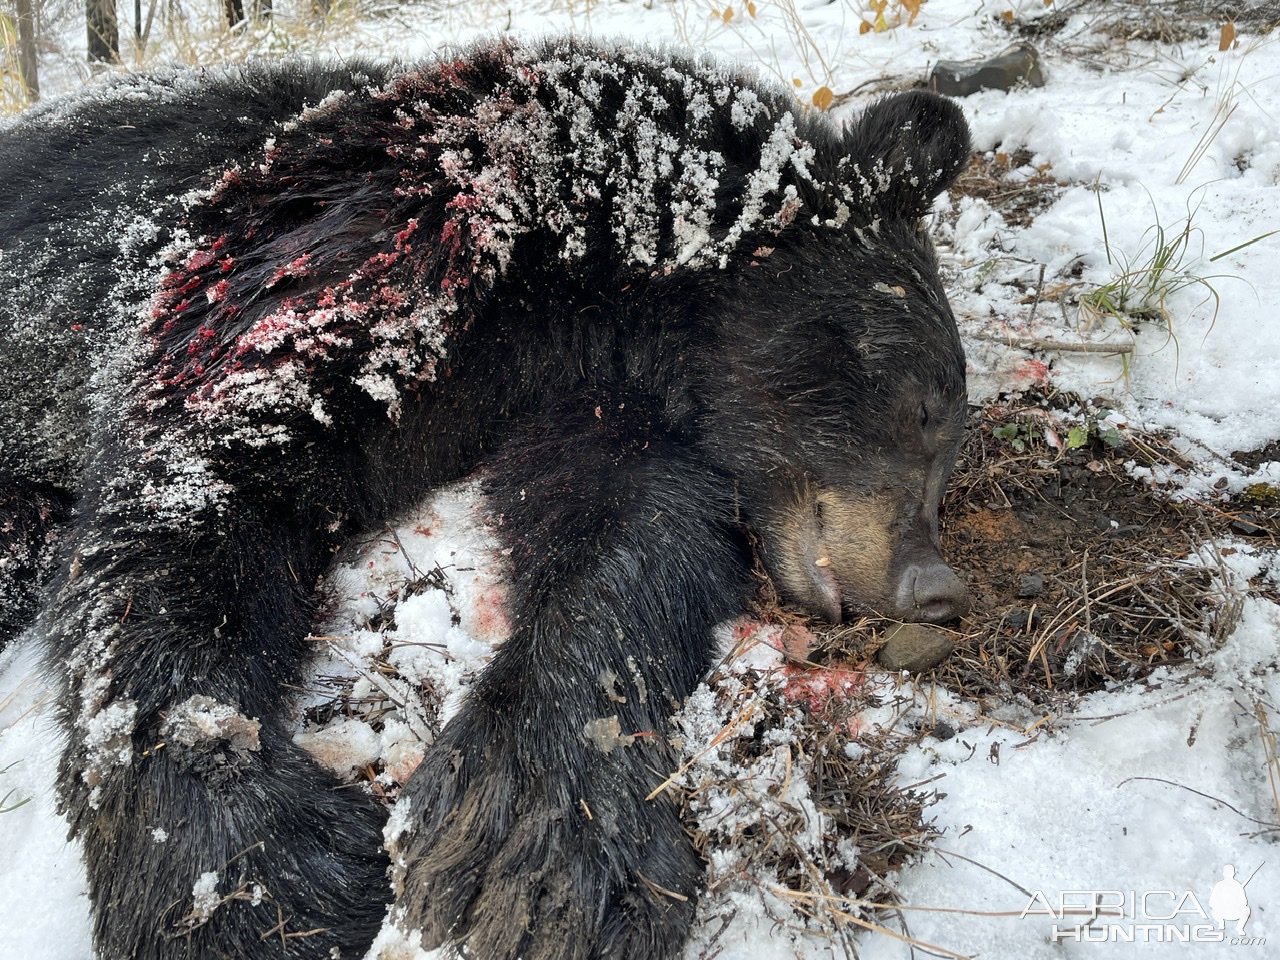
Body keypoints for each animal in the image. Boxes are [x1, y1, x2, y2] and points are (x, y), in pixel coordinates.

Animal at [0, 35, 962, 960]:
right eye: (927, 409)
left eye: (945, 450)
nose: (936, 588)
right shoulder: (331, 257)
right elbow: (184, 500)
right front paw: (264, 877)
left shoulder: (587, 391)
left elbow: (627, 525)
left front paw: (533, 839)